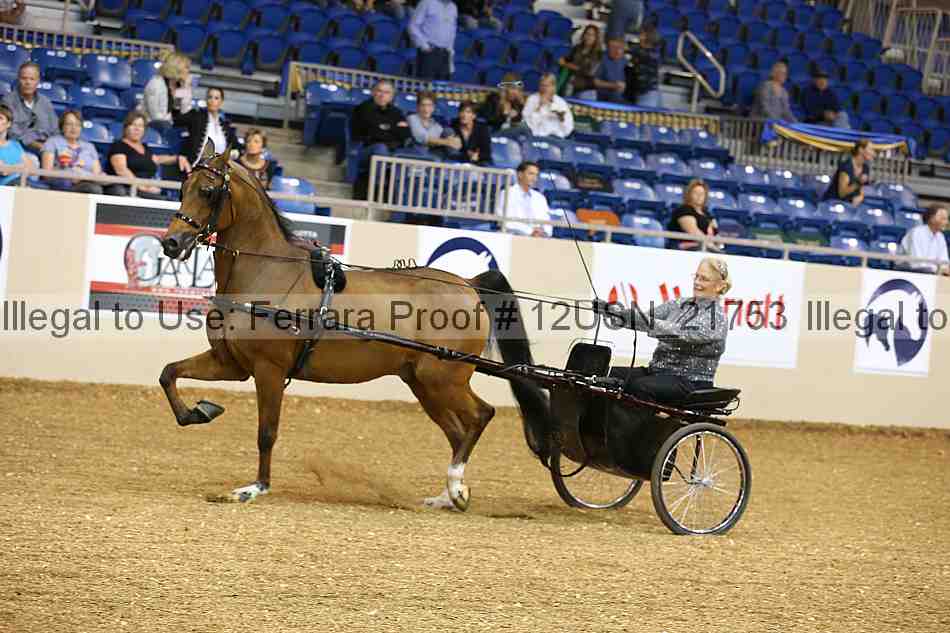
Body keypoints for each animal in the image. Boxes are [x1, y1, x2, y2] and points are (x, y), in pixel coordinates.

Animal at [158, 143, 551, 510]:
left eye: (208, 191)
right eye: (183, 188)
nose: (171, 243)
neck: (266, 272)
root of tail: (468, 284)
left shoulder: (269, 369)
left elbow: (266, 432)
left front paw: (254, 488)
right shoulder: (232, 363)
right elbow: (169, 373)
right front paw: (198, 412)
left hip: (444, 378)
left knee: (480, 416)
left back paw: (455, 488)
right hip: (423, 383)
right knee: (458, 430)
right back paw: (447, 496)